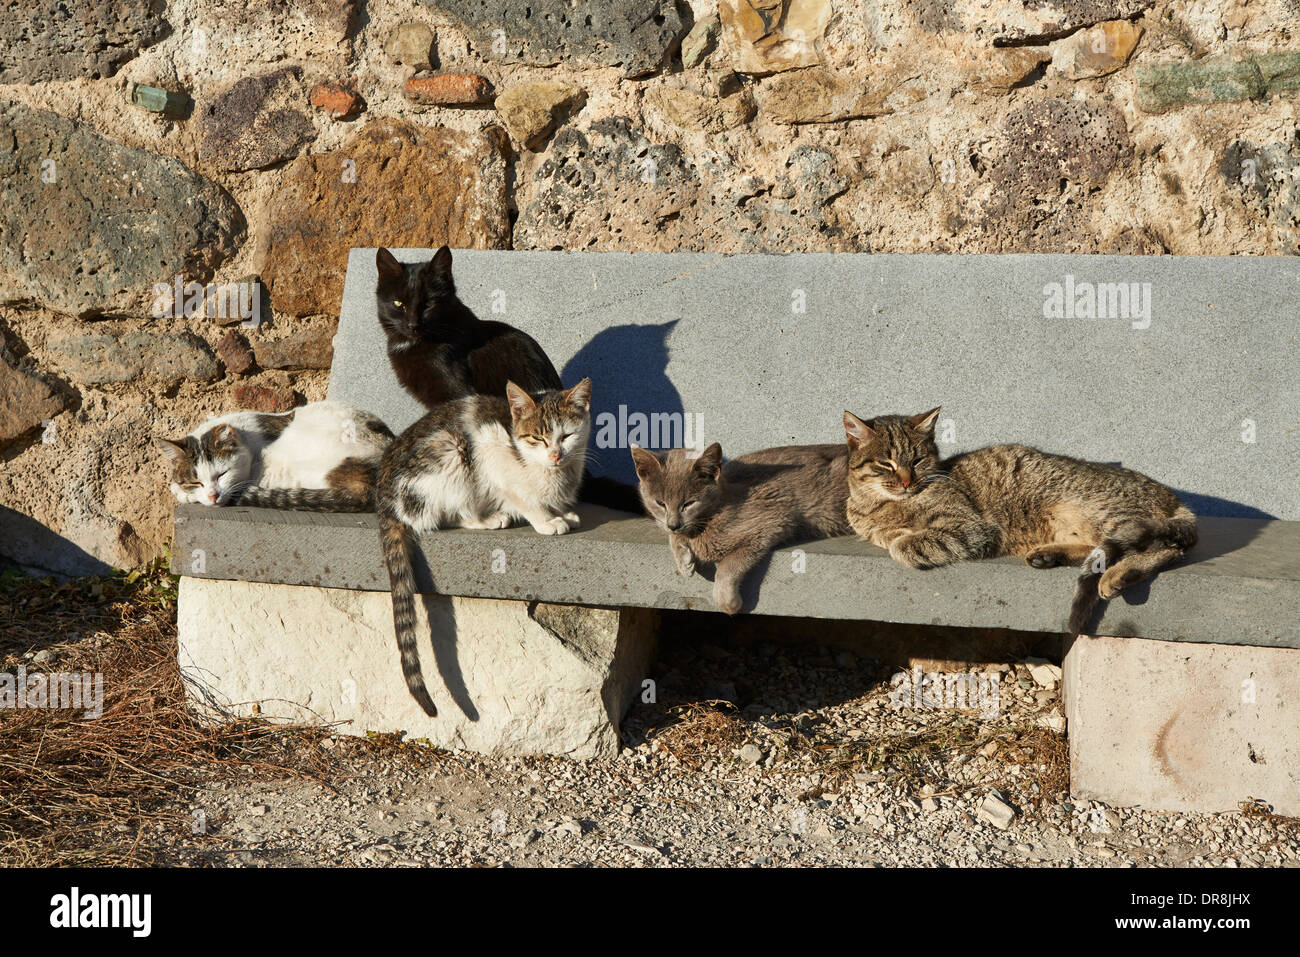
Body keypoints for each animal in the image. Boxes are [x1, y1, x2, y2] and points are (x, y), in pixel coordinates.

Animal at [377, 377, 595, 712]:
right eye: (538, 438)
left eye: (567, 436)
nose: (556, 456)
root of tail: (384, 499)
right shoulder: (493, 446)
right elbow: (522, 495)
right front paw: (547, 520)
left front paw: (563, 513)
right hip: (453, 451)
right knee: (445, 515)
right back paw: (490, 518)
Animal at [629, 442, 852, 613]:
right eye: (660, 503)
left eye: (689, 503)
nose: (674, 524)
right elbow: (674, 538)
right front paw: (684, 561)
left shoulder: (771, 522)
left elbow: (729, 564)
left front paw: (727, 601)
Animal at [842, 405, 1196, 634]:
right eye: (886, 464)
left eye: (917, 460)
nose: (905, 481)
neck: (882, 504)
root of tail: (1173, 496)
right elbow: (886, 535)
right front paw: (893, 531)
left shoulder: (971, 528)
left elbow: (905, 545)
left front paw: (904, 539)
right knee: (1099, 551)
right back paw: (1049, 555)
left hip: (1102, 512)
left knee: (1167, 549)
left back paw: (1119, 574)